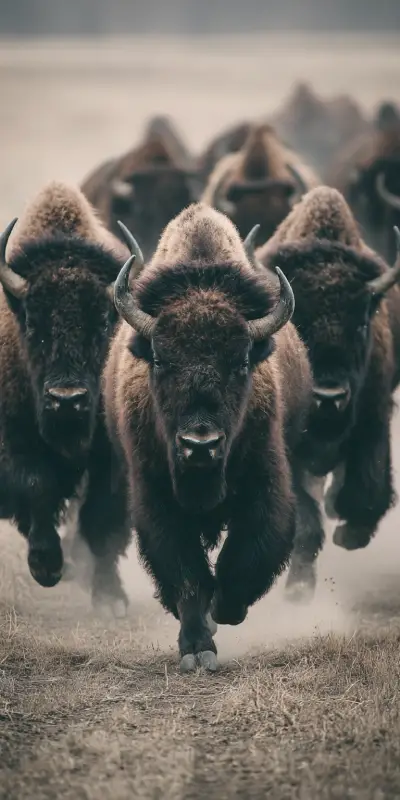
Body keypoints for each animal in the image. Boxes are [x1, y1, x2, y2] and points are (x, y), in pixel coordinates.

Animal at [0, 181, 131, 614]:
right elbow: (37, 487)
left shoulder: (112, 456)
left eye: (103, 323)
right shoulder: (15, 440)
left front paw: (110, 599)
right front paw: (46, 567)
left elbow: (102, 519)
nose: (67, 399)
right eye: (33, 324)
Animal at [103, 203, 313, 671]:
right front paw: (197, 649)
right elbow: (186, 575)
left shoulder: (266, 484)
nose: (200, 444)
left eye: (241, 362)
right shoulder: (156, 496)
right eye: (160, 360)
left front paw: (223, 612)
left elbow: (249, 555)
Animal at [259, 186, 400, 601]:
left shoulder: (373, 417)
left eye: (362, 322)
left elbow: (366, 487)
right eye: (298, 324)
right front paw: (299, 588)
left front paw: (350, 532)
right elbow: (304, 516)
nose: (329, 396)